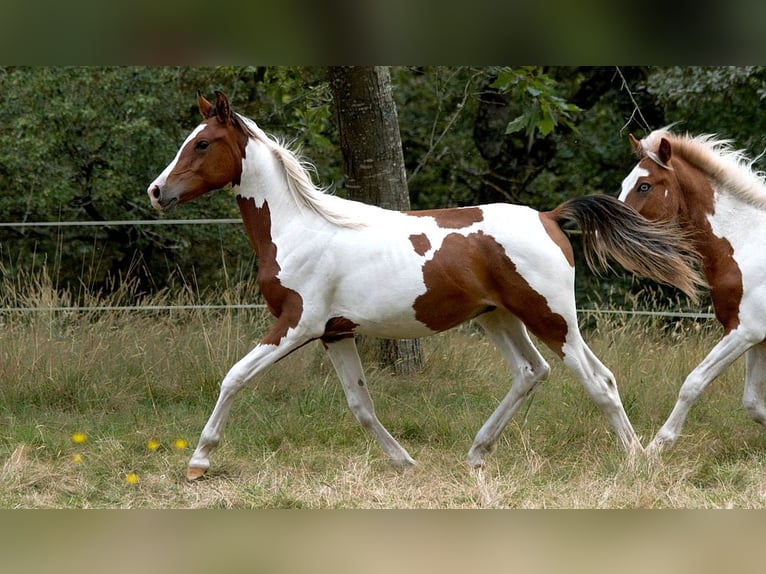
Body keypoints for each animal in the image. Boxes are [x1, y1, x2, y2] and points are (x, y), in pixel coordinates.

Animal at [146, 93, 704, 482]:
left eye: (202, 143)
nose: (156, 191)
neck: (299, 228)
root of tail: (549, 216)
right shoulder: (335, 333)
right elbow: (361, 406)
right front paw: (404, 462)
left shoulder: (296, 325)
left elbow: (234, 378)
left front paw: (199, 461)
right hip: (499, 318)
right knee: (531, 372)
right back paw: (477, 454)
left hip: (552, 319)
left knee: (599, 381)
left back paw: (637, 460)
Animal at [620, 129, 766, 454]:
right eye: (624, 184)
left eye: (644, 186)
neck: (746, 244)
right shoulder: (756, 337)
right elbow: (752, 402)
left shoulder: (744, 331)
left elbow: (693, 383)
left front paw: (656, 448)